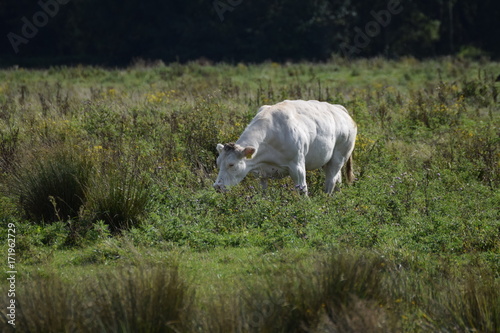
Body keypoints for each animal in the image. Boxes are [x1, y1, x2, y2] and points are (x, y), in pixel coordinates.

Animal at [213, 98, 358, 195]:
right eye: (218, 163)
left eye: (231, 164)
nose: (217, 186)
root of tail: (339, 108)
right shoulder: (261, 173)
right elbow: (263, 193)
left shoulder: (297, 167)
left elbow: (303, 190)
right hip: (327, 160)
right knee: (337, 178)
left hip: (339, 157)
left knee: (331, 181)